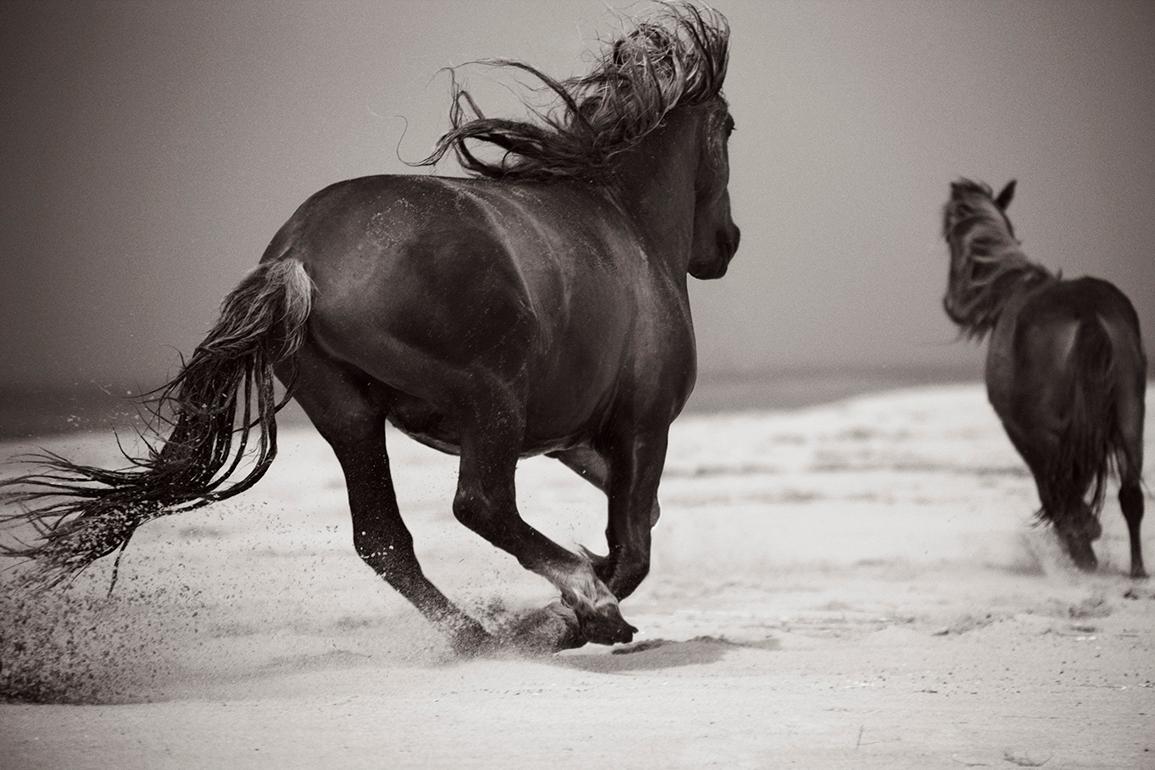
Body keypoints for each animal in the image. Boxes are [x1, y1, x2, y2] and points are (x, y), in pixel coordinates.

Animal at [2, 4, 739, 655]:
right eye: (729, 127)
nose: (726, 244)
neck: (626, 223)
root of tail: (297, 256)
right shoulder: (643, 424)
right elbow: (633, 546)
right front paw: (569, 616)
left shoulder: (573, 439)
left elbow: (638, 524)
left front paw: (555, 615)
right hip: (488, 401)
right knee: (479, 506)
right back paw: (568, 612)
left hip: (348, 415)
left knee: (383, 539)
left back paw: (477, 637)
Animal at [947, 182, 1145, 577]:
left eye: (948, 238)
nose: (951, 304)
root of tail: (1089, 315)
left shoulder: (1020, 429)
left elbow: (1052, 488)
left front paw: (1081, 539)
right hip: (1132, 415)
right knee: (1131, 495)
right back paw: (1137, 570)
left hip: (1051, 429)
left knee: (1066, 488)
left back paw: (1084, 548)